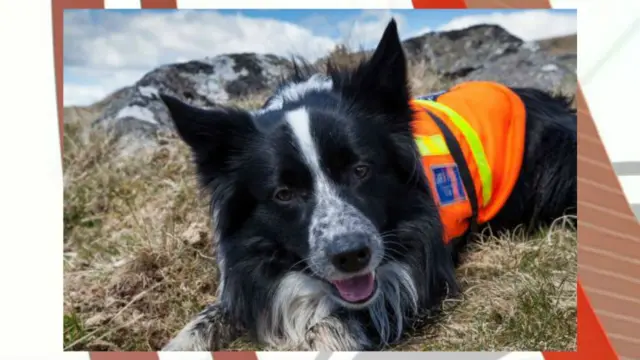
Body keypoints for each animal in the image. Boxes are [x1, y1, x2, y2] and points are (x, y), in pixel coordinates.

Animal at [161, 20, 580, 352]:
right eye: (283, 194)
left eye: (361, 170)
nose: (351, 256)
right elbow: (213, 314)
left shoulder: (411, 275)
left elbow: (334, 322)